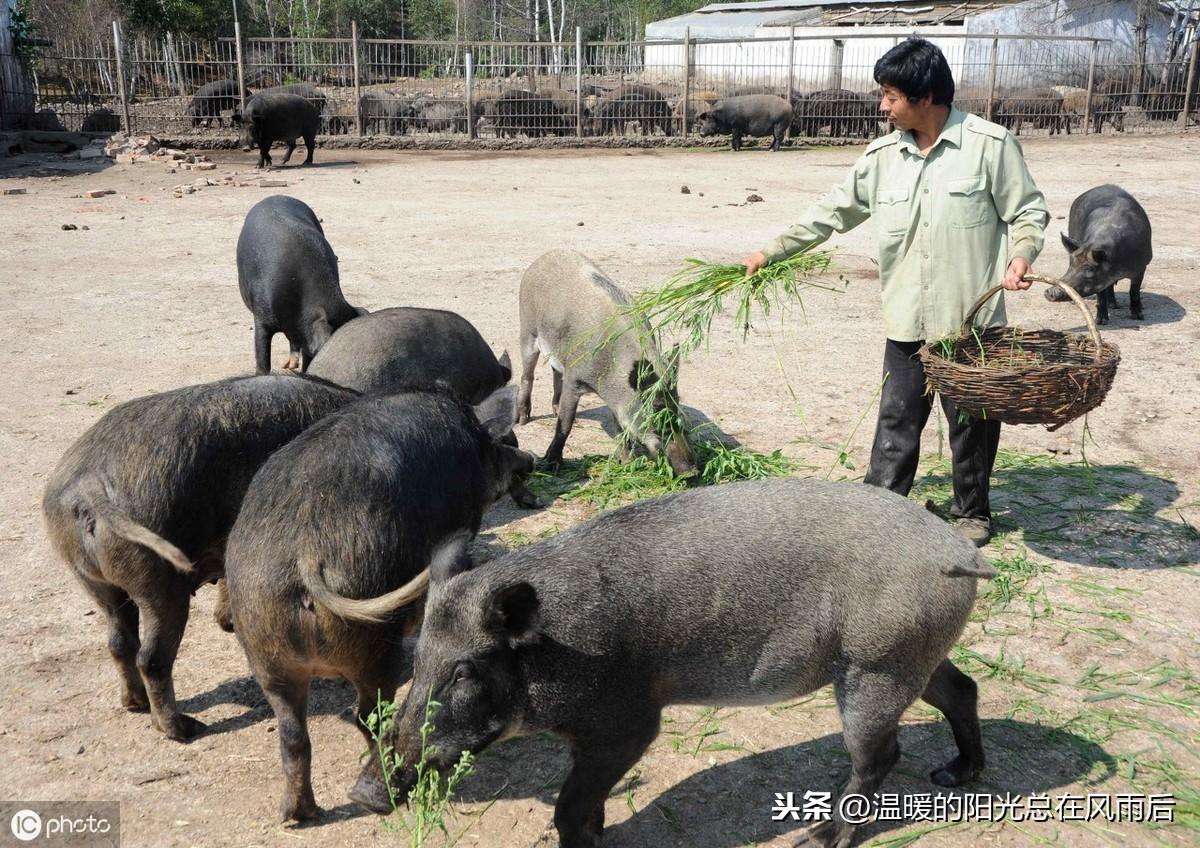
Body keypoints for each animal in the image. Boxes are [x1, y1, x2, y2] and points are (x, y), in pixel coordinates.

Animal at [226, 388, 537, 820]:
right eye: (499, 445)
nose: (531, 459)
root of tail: (305, 553)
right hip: (373, 643)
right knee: (370, 718)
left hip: (265, 650)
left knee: (293, 735)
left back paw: (297, 817)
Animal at [372, 477, 993, 848]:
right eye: (418, 659)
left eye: (464, 671)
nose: (372, 790)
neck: (560, 646)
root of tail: (960, 553)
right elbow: (584, 801)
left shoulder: (628, 723)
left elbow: (570, 806)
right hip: (917, 654)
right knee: (962, 690)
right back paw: (953, 775)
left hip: (876, 666)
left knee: (880, 754)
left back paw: (814, 838)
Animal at [516, 251, 696, 477]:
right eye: (656, 413)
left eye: (678, 410)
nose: (692, 471)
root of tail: (544, 257)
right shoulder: (575, 379)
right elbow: (566, 422)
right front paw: (551, 466)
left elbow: (619, 426)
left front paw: (627, 463)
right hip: (527, 328)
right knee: (527, 374)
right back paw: (522, 420)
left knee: (555, 371)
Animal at [1051, 184, 1152, 326]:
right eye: (1072, 264)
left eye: (1090, 269)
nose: (1050, 292)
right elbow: (1101, 297)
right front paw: (1100, 322)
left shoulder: (1141, 266)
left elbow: (1134, 291)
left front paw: (1138, 317)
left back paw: (1114, 306)